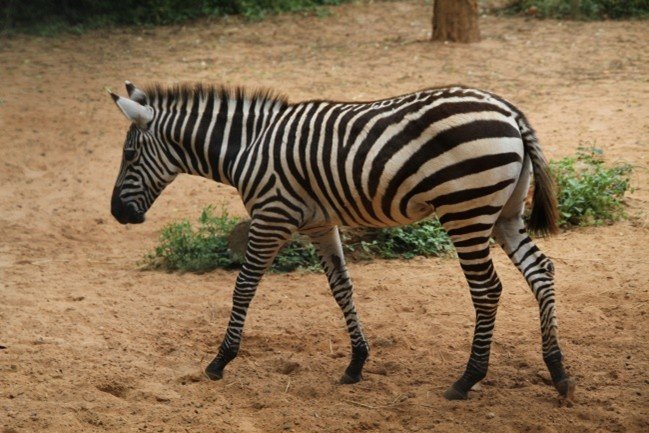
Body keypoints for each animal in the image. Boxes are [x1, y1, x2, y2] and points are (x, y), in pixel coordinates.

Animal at [109, 81, 575, 400]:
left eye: (129, 155)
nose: (117, 213)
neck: (248, 148)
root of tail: (509, 111)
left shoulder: (272, 215)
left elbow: (244, 286)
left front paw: (220, 360)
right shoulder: (320, 224)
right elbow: (342, 288)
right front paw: (356, 363)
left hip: (465, 210)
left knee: (487, 289)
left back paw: (468, 378)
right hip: (505, 212)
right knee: (541, 271)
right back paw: (558, 372)